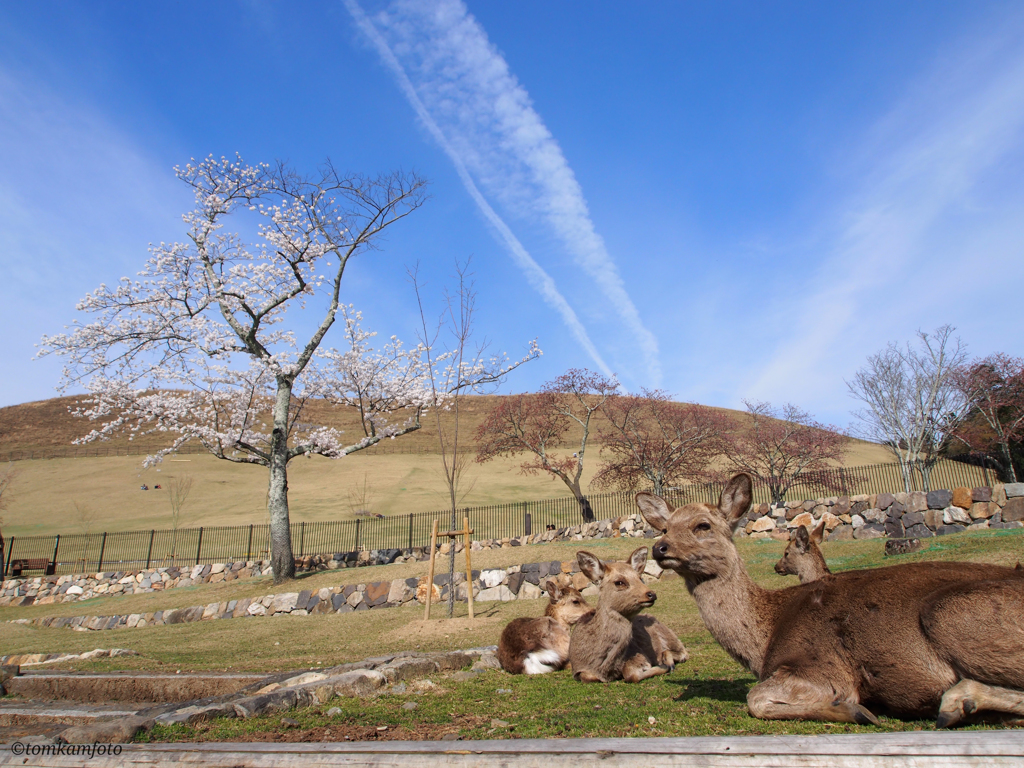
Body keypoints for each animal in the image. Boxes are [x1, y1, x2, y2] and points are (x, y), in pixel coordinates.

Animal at [569, 548, 688, 684]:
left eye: (640, 578)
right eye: (619, 582)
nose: (651, 594)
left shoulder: (638, 654)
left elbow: (631, 675)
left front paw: (662, 667)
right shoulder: (577, 670)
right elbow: (587, 677)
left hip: (669, 635)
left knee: (682, 652)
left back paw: (669, 663)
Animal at [634, 473, 1024, 729]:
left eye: (703, 525)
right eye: (664, 527)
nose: (659, 548)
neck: (766, 639)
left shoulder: (823, 665)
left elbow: (755, 698)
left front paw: (855, 710)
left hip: (948, 614)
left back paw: (958, 703)